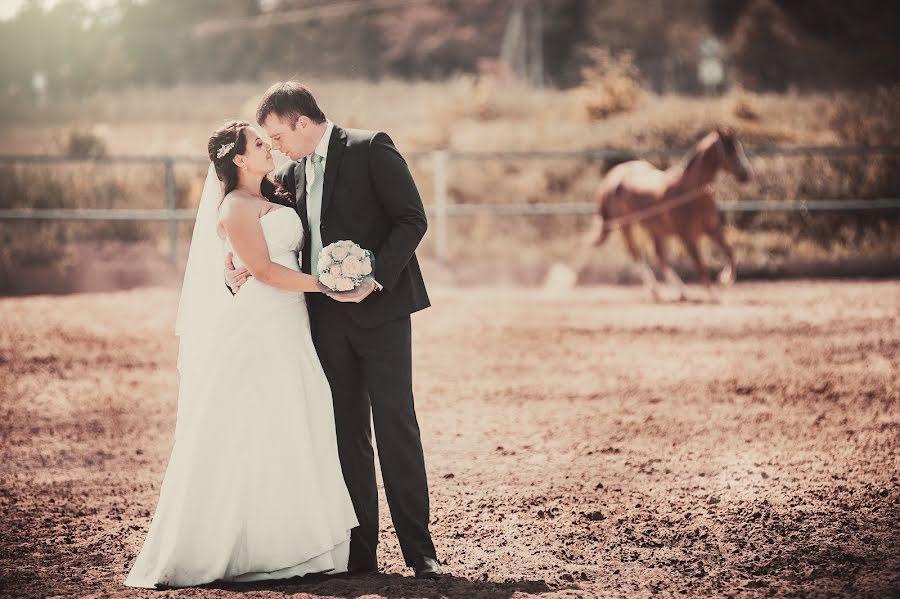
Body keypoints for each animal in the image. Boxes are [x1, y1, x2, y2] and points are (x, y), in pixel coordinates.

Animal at [596, 129, 748, 302]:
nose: (746, 174)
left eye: (739, 147)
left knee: (660, 257)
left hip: (655, 230)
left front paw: (724, 280)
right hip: (626, 226)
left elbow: (730, 251)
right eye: (730, 150)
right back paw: (656, 290)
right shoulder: (688, 237)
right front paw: (713, 294)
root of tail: (614, 175)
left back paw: (681, 291)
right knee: (636, 253)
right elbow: (701, 265)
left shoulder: (713, 229)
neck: (690, 192)